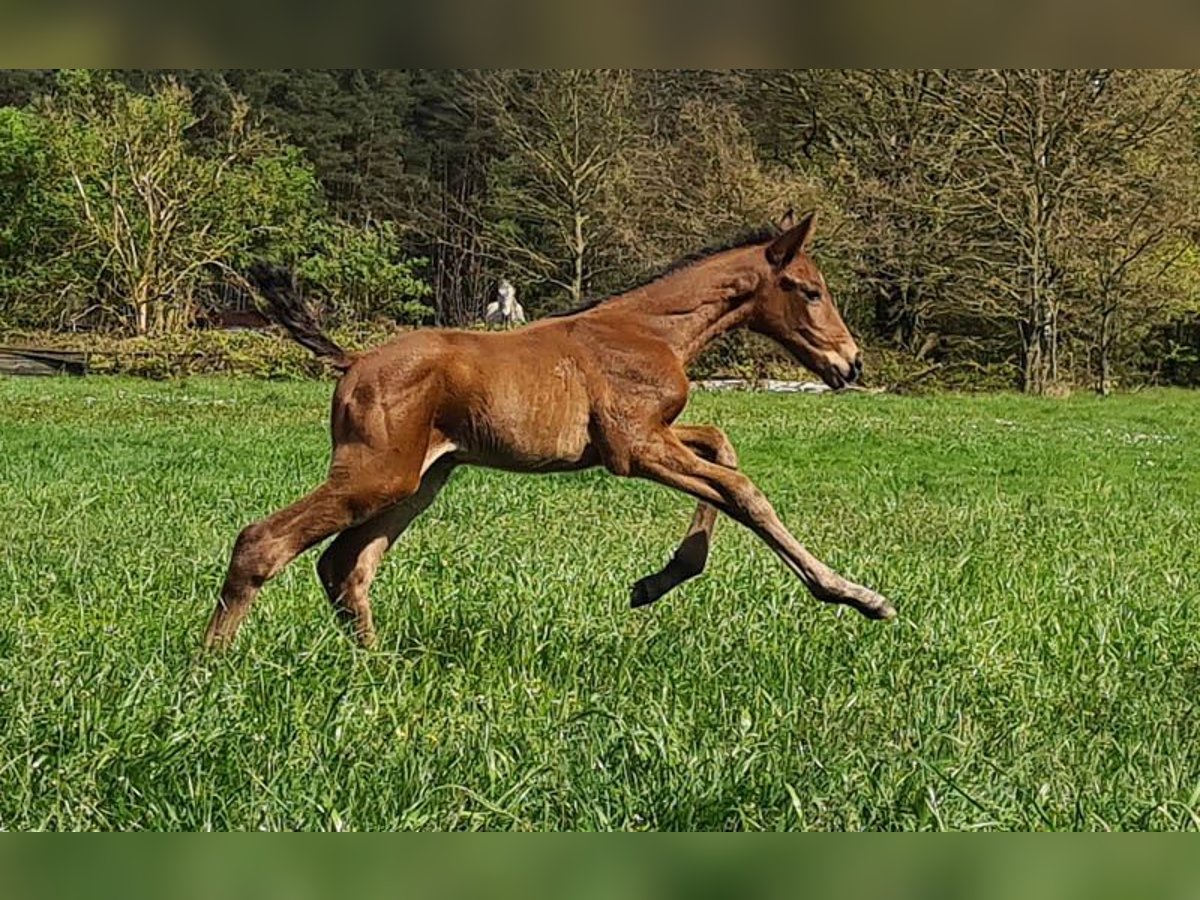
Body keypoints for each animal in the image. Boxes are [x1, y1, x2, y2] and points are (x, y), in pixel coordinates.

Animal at [204, 211, 892, 648]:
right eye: (809, 290)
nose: (851, 363)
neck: (651, 331)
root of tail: (353, 360)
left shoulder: (657, 434)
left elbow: (722, 448)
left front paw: (657, 581)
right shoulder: (633, 447)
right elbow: (743, 491)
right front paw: (857, 596)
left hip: (419, 480)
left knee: (345, 566)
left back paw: (377, 669)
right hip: (375, 475)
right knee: (262, 542)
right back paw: (208, 670)